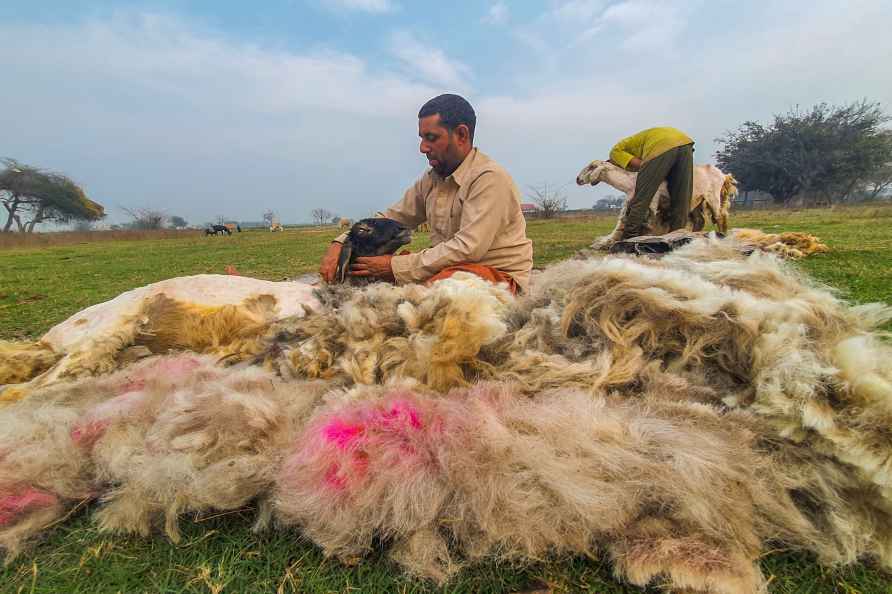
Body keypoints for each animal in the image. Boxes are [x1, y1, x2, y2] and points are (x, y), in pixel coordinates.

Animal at [580, 158, 740, 246]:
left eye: (592, 167)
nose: (578, 179)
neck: (630, 181)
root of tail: (723, 175)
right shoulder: (631, 200)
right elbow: (625, 220)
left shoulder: (653, 198)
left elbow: (649, 219)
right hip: (696, 201)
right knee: (700, 220)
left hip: (713, 197)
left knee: (719, 217)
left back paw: (721, 235)